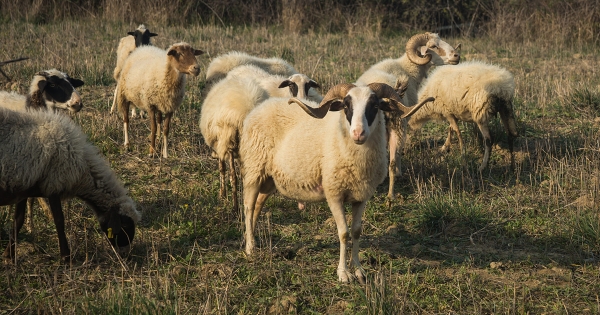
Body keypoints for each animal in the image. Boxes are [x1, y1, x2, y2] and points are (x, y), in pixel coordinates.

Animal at [0, 107, 141, 262]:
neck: (83, 169)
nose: (125, 255)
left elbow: (18, 221)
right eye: (125, 226)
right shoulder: (54, 183)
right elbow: (59, 221)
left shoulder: (24, 186)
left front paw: (9, 254)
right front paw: (66, 257)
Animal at [241, 82, 434, 284]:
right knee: (248, 207)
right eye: (346, 106)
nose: (358, 133)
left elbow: (356, 231)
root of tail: (260, 107)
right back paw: (250, 248)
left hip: (269, 179)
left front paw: (359, 270)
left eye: (374, 105)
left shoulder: (361, 196)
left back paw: (253, 239)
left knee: (257, 206)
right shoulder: (333, 194)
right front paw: (343, 273)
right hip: (254, 170)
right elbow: (344, 233)